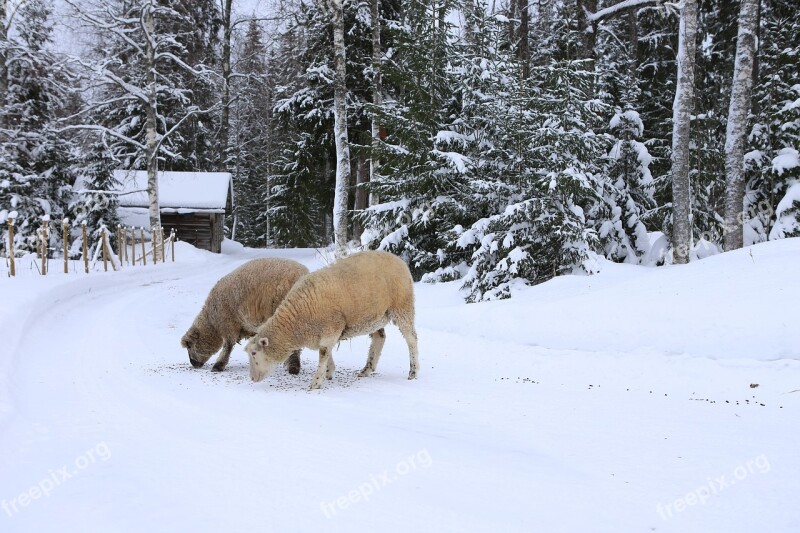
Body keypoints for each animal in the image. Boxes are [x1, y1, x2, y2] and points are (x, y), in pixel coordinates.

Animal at [182, 258, 310, 374]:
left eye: (189, 345)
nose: (193, 364)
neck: (212, 322)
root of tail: (301, 274)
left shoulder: (227, 323)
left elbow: (228, 346)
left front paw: (218, 366)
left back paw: (293, 367)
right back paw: (294, 367)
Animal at [242, 249, 418, 390]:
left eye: (254, 353)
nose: (252, 378)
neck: (296, 321)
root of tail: (398, 259)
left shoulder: (331, 328)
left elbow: (323, 353)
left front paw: (316, 382)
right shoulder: (325, 332)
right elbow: (327, 352)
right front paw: (329, 372)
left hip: (403, 306)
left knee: (411, 338)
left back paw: (413, 371)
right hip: (374, 316)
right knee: (379, 337)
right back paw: (367, 369)